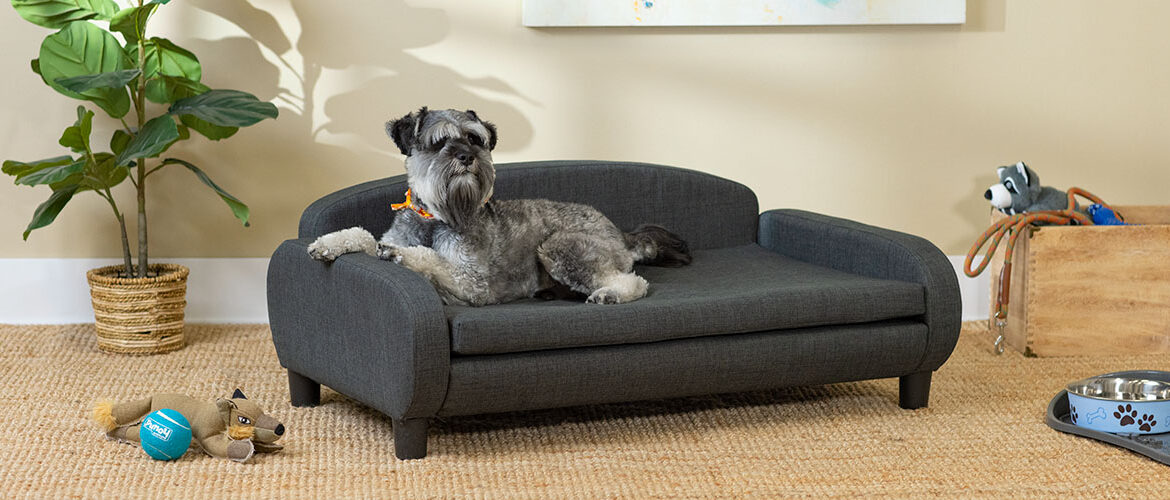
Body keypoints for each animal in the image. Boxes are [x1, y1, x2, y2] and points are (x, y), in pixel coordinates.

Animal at [306, 107, 691, 306]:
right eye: (439, 142)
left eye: (475, 138)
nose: (467, 157)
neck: (435, 218)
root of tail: (623, 235)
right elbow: (363, 235)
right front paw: (328, 243)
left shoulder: (470, 281)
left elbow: (429, 258)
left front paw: (400, 255)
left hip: (560, 246)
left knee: (634, 281)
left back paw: (609, 293)